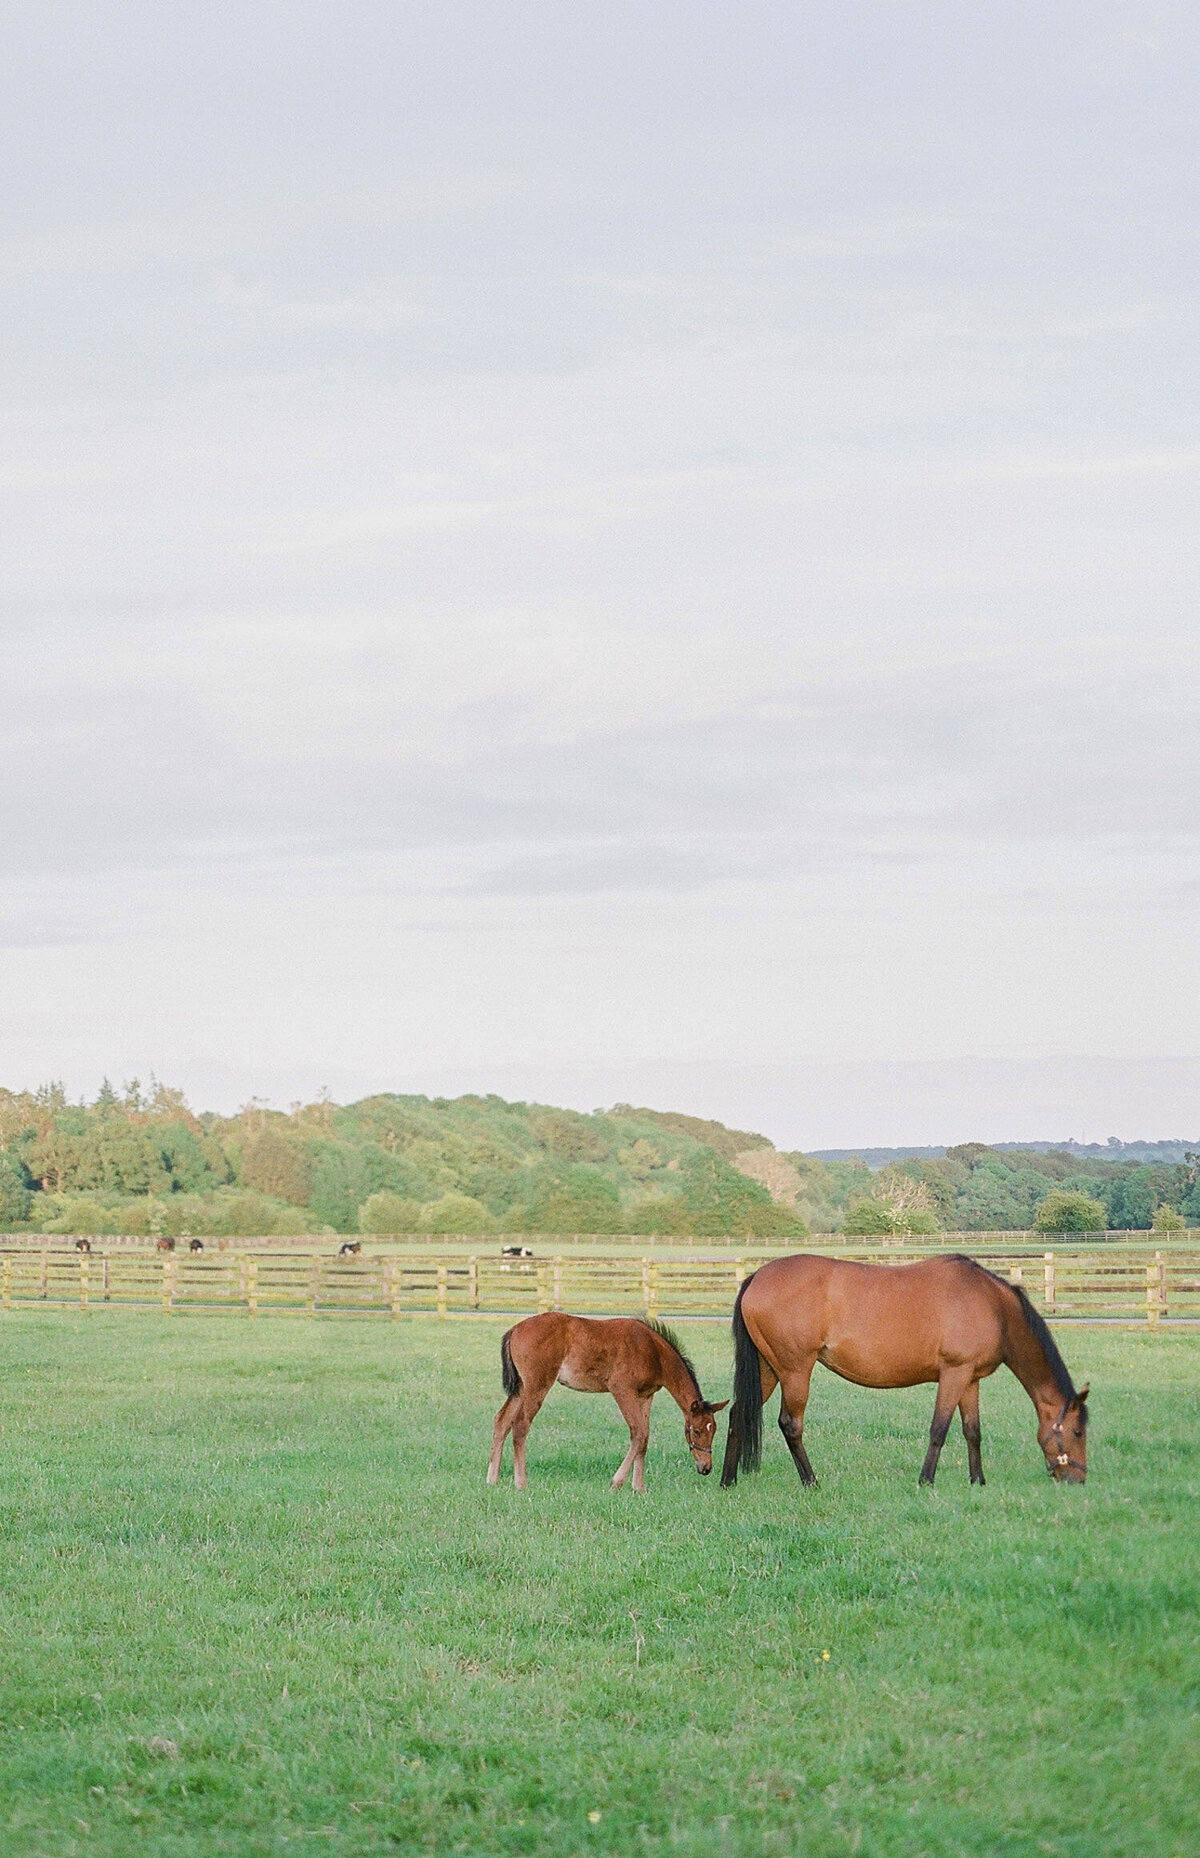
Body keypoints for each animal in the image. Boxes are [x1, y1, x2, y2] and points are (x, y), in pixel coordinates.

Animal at [490, 1308, 731, 1493]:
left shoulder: (645, 1395)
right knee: (520, 1424)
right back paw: (521, 1483)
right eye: (696, 1431)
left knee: (502, 1421)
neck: (653, 1351)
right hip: (537, 1384)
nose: (706, 1468)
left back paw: (492, 1479)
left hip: (521, 1387)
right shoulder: (622, 1389)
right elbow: (638, 1433)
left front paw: (639, 1488)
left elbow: (645, 1437)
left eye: (714, 1430)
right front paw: (617, 1482)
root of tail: (514, 1330)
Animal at [724, 1248, 1092, 1493]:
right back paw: (811, 1481)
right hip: (795, 1370)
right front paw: (926, 1481)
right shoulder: (954, 1373)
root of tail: (756, 1277)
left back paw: (728, 1480)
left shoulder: (969, 1379)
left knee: (738, 1413)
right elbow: (939, 1429)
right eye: (1077, 1432)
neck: (993, 1307)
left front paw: (978, 1481)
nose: (1078, 1479)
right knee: (791, 1424)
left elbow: (972, 1431)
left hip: (768, 1369)